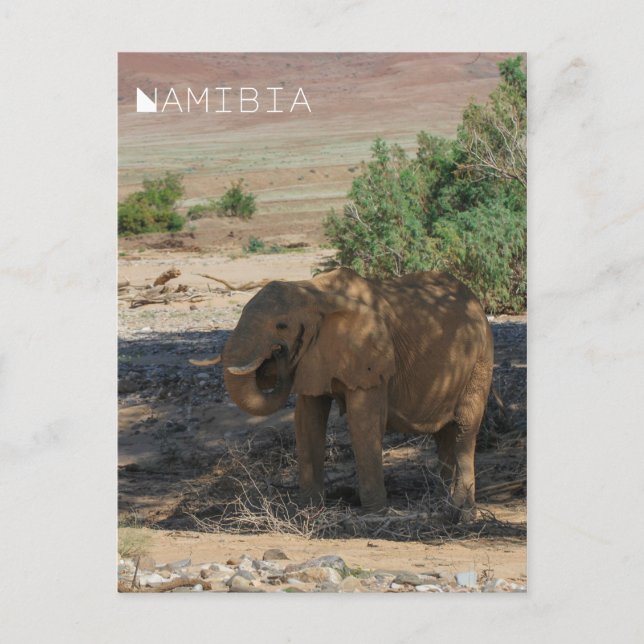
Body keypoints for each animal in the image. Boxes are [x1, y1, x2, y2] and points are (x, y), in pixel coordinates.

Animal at [192, 267, 493, 521]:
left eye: (281, 326)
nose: (279, 354)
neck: (315, 292)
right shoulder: (313, 357)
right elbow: (307, 419)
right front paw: (306, 510)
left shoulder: (369, 355)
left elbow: (362, 421)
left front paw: (373, 513)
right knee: (445, 435)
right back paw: (443, 504)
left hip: (481, 359)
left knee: (464, 429)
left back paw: (462, 512)